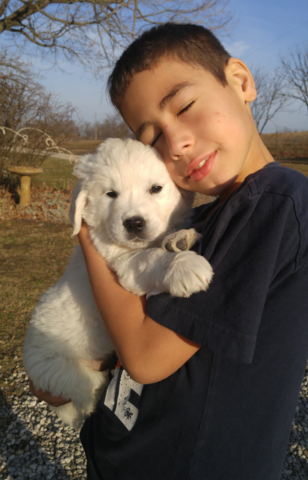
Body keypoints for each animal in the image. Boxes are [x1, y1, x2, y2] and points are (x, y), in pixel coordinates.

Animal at [22, 138, 213, 428]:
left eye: (155, 189)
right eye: (111, 194)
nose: (134, 223)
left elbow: (164, 240)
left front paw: (180, 238)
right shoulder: (125, 264)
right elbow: (152, 258)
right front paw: (185, 266)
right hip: (68, 373)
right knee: (87, 399)